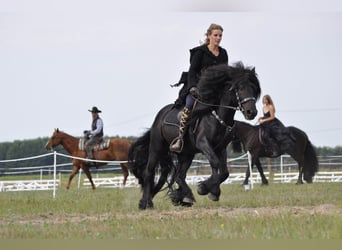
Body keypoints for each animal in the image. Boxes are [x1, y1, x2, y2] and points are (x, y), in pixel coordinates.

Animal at [130, 62, 260, 209]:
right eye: (240, 88)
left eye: (254, 89)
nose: (251, 112)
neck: (216, 117)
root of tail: (160, 115)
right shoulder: (203, 143)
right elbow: (215, 163)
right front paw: (204, 188)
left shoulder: (220, 148)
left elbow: (224, 172)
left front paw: (213, 191)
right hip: (157, 147)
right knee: (149, 172)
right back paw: (146, 202)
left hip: (186, 153)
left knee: (179, 176)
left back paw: (184, 197)